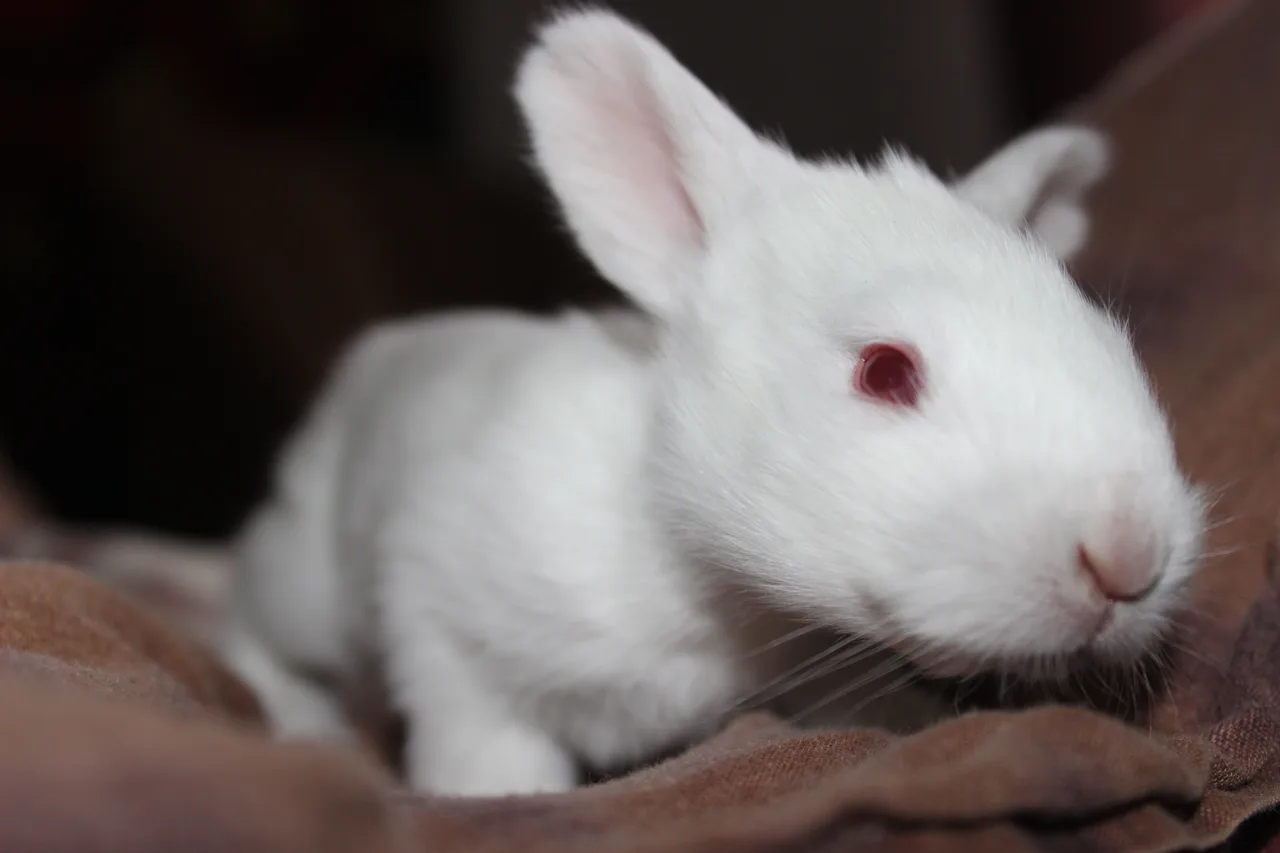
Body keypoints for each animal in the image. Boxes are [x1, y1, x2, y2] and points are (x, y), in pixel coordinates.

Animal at [219, 7, 1207, 797]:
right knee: (245, 614)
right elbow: (487, 751)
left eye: (1105, 335)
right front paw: (493, 797)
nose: (1129, 555)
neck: (723, 600)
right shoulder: (442, 625)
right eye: (884, 371)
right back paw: (297, 714)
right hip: (304, 580)